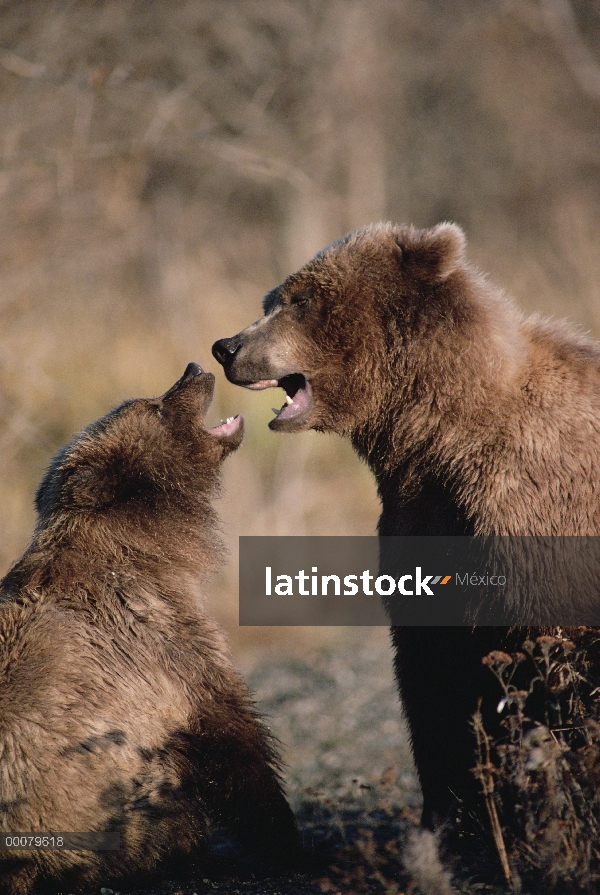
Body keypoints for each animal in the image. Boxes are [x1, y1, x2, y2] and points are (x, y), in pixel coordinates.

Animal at [212, 228, 600, 828]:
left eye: (300, 300)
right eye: (271, 299)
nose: (227, 347)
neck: (435, 430)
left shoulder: (528, 505)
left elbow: (553, 664)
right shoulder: (425, 514)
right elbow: (433, 669)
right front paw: (454, 811)